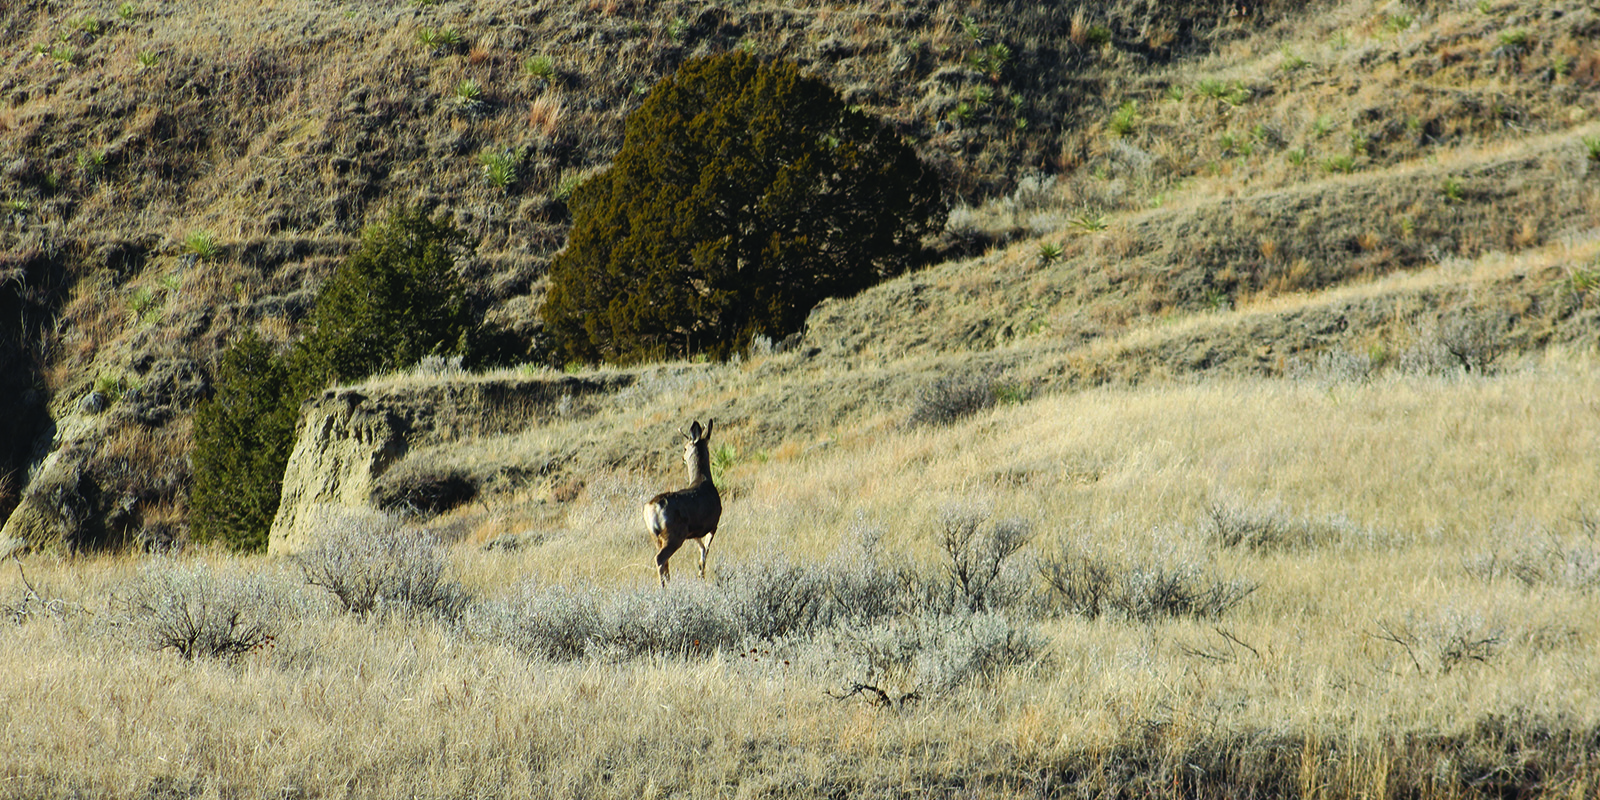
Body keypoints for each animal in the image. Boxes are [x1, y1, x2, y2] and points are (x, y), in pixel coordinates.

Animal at [640, 419, 723, 588]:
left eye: (684, 448)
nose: (683, 457)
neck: (703, 480)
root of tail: (651, 507)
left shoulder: (695, 532)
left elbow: (701, 551)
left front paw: (700, 575)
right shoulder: (713, 524)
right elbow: (705, 552)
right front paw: (702, 576)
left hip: (655, 536)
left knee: (664, 560)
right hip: (675, 533)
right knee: (660, 558)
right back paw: (664, 587)